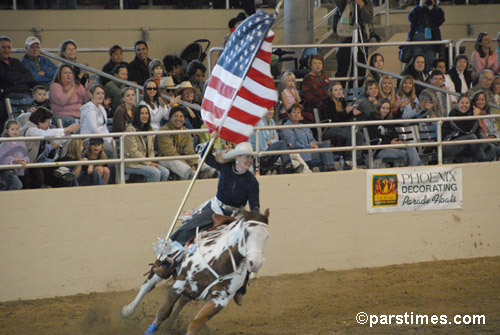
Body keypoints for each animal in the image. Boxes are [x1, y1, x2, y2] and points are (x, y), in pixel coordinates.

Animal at [120, 209, 270, 334]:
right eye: (246, 232)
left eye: (267, 236)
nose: (255, 263)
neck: (220, 262)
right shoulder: (179, 284)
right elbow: (163, 312)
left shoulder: (219, 300)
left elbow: (195, 325)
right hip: (164, 264)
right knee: (148, 284)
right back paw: (127, 310)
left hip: (192, 291)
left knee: (182, 301)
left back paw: (170, 326)